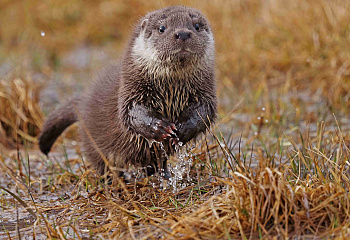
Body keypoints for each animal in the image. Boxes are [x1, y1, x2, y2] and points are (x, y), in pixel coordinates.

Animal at [39, 5, 217, 179]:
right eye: (162, 28)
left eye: (196, 26)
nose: (183, 33)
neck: (171, 89)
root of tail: (83, 102)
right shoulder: (131, 90)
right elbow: (131, 113)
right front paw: (159, 127)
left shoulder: (205, 93)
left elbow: (205, 112)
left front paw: (183, 128)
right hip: (94, 144)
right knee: (103, 164)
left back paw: (163, 174)